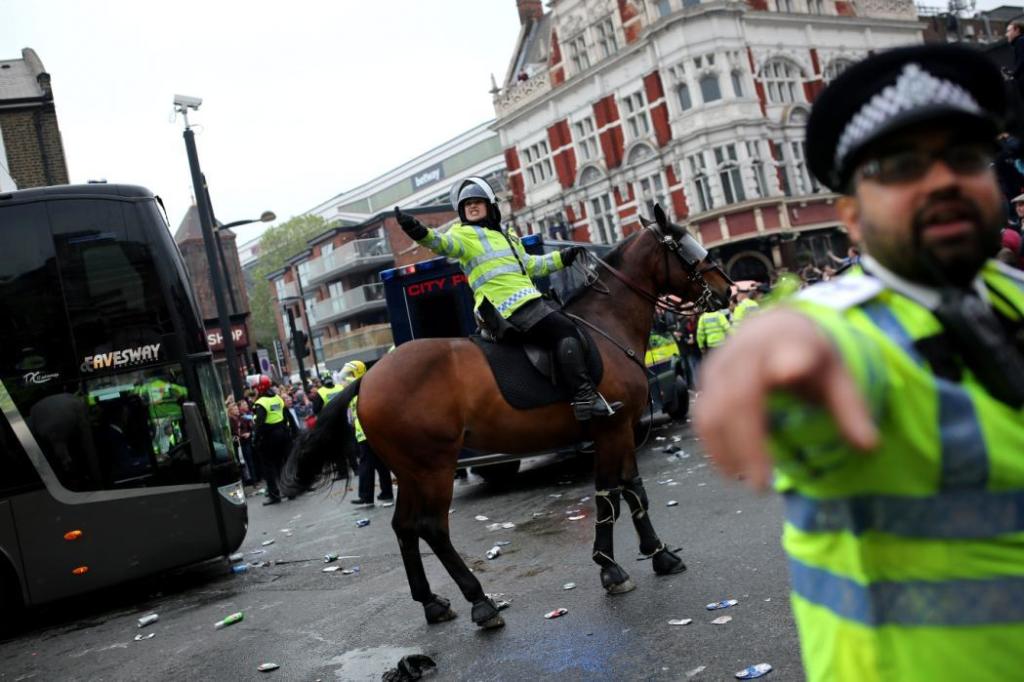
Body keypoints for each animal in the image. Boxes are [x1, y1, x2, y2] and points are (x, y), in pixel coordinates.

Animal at [280, 205, 729, 626]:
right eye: (683, 245)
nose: (726, 289)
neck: (607, 328)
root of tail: (369, 376)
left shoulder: (623, 432)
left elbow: (633, 490)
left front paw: (659, 554)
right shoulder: (611, 428)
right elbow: (609, 494)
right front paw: (611, 567)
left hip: (409, 471)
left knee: (404, 527)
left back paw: (432, 602)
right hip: (433, 467)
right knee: (432, 528)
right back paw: (479, 601)